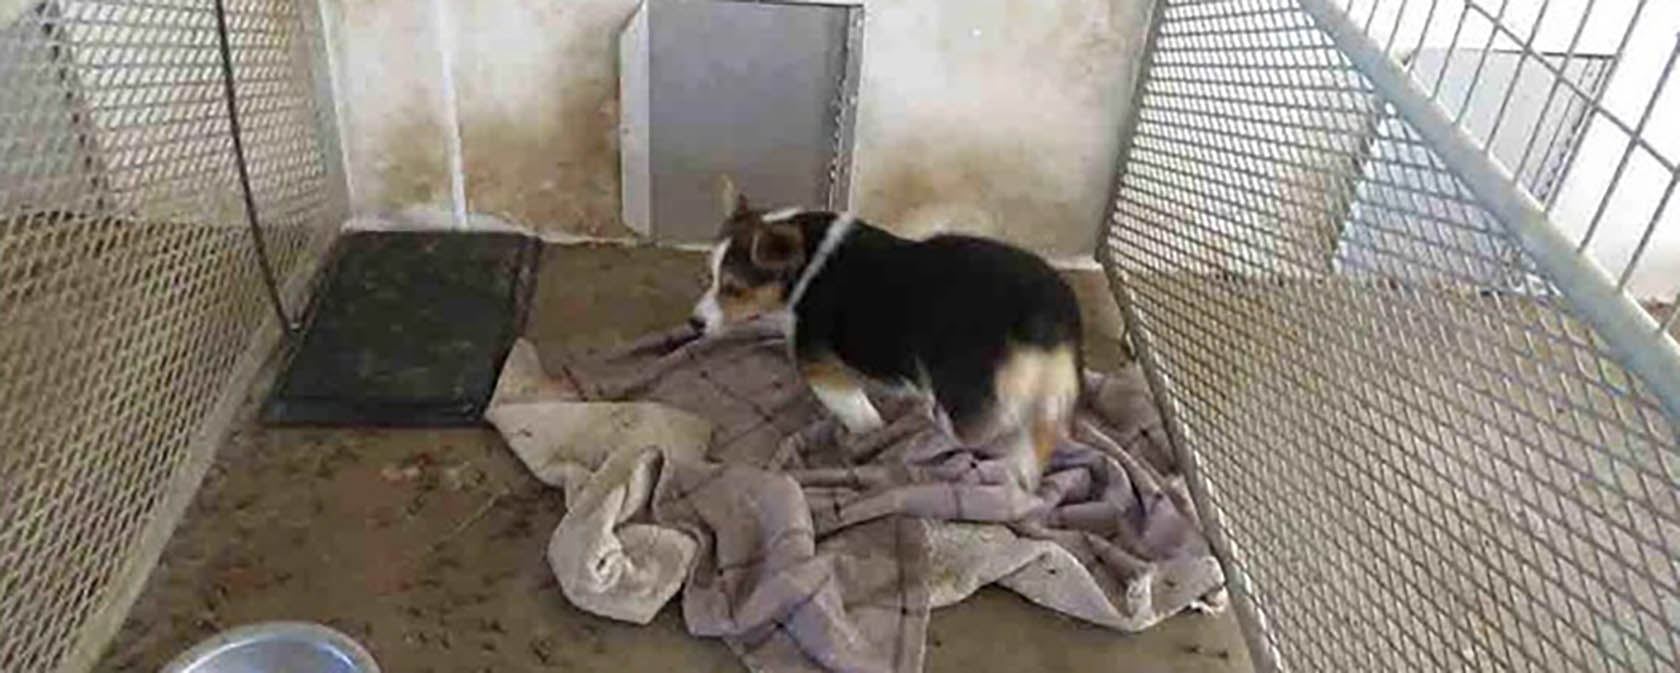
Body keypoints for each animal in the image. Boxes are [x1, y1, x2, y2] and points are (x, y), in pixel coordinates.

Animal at [688, 177, 1081, 486]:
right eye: (709, 277)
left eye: (734, 289)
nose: (694, 323)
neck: (805, 263)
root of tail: (1044, 314)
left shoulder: (819, 366)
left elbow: (860, 416)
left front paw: (862, 439)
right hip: (1055, 383)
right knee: (1047, 427)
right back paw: (1026, 473)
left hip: (963, 396)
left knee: (1003, 425)